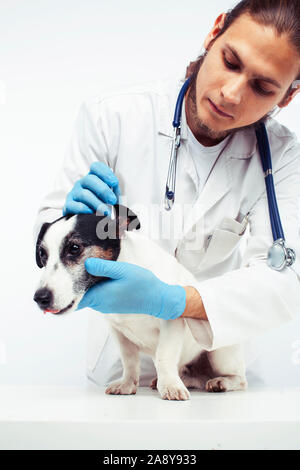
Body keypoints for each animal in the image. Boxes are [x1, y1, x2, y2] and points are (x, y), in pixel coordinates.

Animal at [34, 206, 247, 400]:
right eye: (42, 254)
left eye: (74, 248)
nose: (40, 298)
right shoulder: (118, 332)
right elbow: (129, 360)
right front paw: (128, 384)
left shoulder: (171, 322)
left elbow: (164, 356)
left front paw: (170, 386)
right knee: (194, 377)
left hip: (219, 354)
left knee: (240, 380)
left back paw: (221, 382)